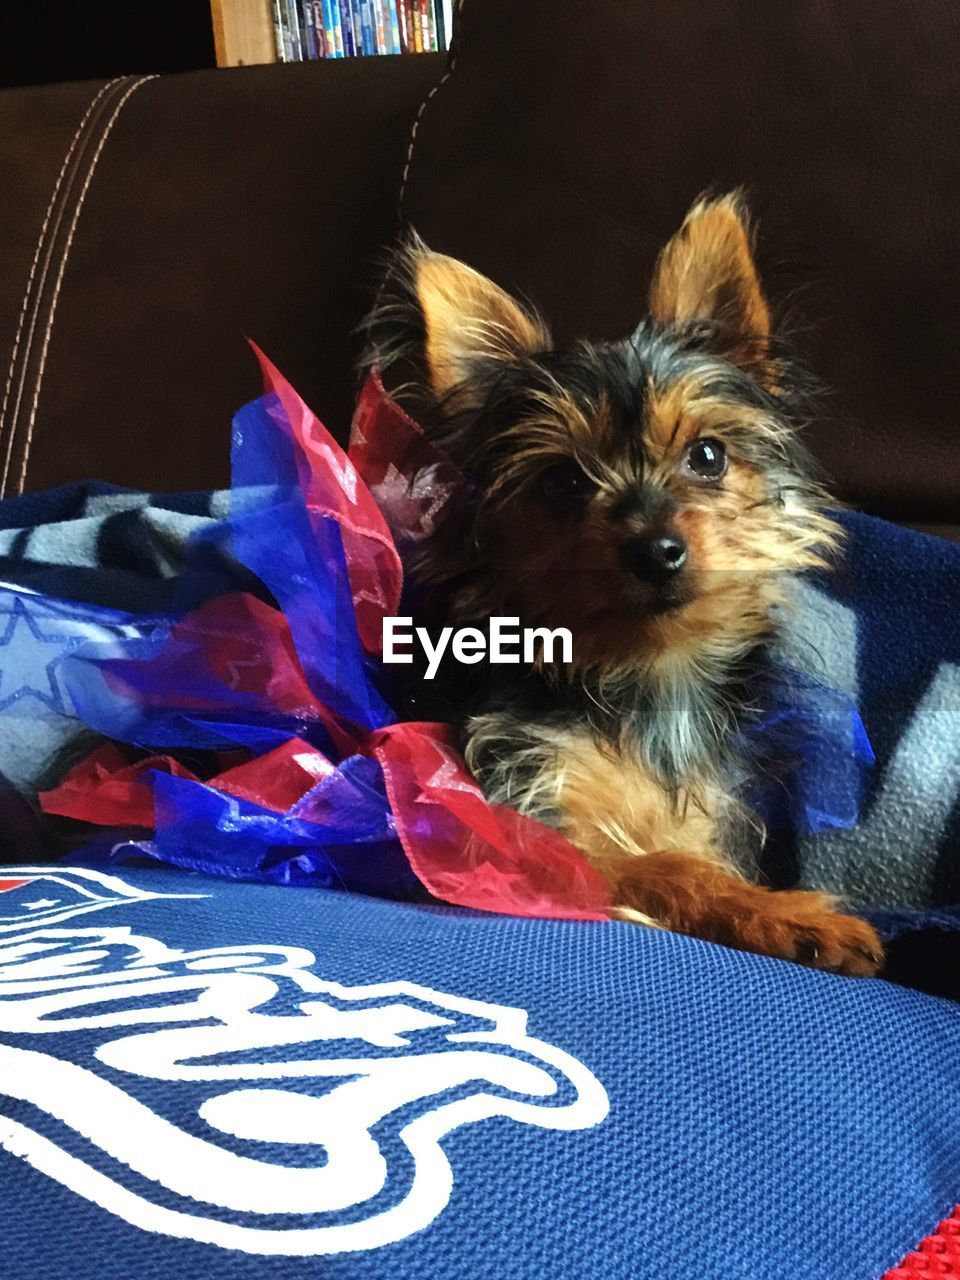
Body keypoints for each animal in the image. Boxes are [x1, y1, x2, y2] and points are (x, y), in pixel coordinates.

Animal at [366, 189, 885, 972]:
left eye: (708, 456)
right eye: (563, 483)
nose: (655, 550)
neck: (643, 676)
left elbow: (688, 850)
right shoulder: (533, 834)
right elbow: (671, 867)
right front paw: (789, 914)